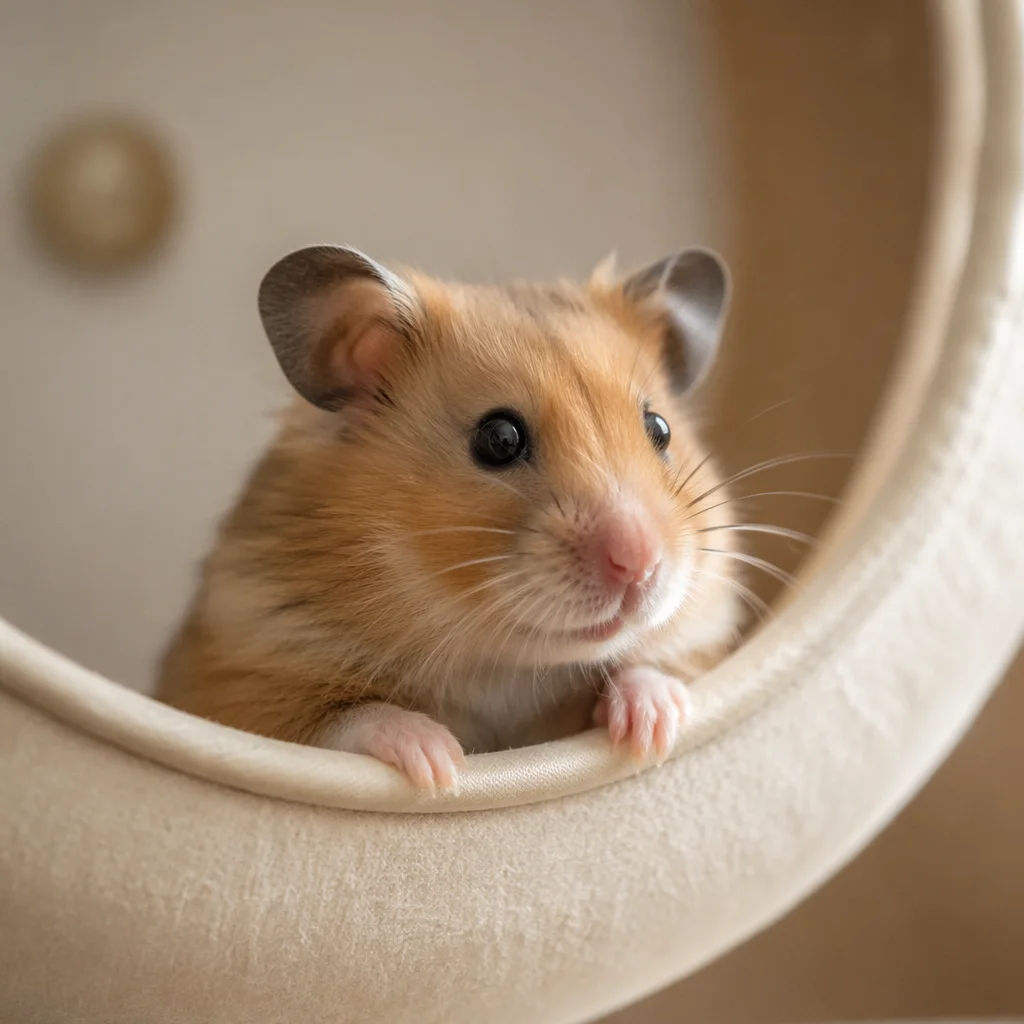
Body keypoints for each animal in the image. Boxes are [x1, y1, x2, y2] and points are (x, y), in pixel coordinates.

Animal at [156, 244, 744, 789]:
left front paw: (651, 730)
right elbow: (349, 721)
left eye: (660, 429)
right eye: (499, 439)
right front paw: (442, 764)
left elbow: (653, 667)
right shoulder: (244, 679)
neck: (502, 664)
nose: (639, 564)